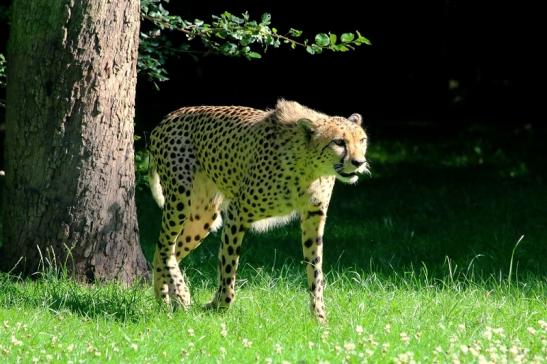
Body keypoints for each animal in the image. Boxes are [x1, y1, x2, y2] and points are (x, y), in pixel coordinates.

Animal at [149, 99, 368, 322]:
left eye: (362, 140)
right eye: (339, 142)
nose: (359, 162)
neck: (309, 167)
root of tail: (171, 115)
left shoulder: (313, 217)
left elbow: (315, 270)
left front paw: (320, 319)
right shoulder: (237, 214)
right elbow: (228, 268)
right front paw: (217, 305)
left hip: (203, 216)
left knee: (163, 250)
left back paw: (165, 300)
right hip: (180, 200)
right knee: (165, 246)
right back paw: (181, 292)